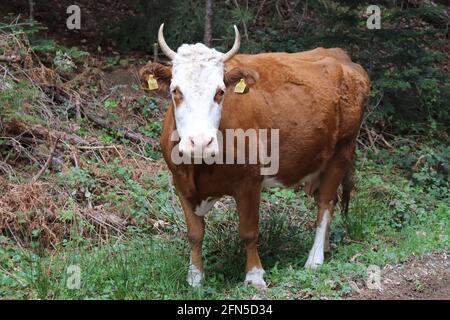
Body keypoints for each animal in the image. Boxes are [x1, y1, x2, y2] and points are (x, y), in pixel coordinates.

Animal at [140, 22, 370, 288]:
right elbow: (195, 233)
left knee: (325, 203)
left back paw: (315, 258)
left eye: (220, 92)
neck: (200, 166)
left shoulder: (249, 181)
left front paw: (254, 275)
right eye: (176, 91)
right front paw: (195, 276)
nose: (200, 143)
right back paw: (326, 247)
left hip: (342, 151)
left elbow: (248, 232)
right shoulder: (180, 182)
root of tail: (342, 57)